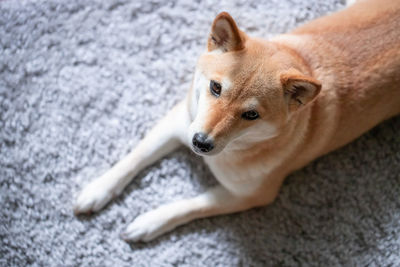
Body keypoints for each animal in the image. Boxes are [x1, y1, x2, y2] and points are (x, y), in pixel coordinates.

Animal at [73, 0, 400, 243]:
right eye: (216, 88)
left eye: (251, 115)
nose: (200, 143)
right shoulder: (180, 120)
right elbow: (134, 158)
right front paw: (97, 190)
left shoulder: (249, 196)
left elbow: (190, 205)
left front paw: (148, 222)